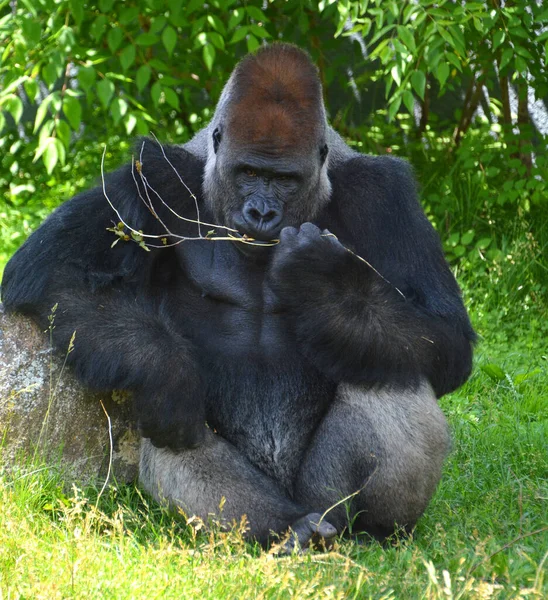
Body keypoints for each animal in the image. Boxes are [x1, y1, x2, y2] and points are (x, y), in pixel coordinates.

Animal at [1, 42, 476, 548]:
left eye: (285, 179)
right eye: (249, 171)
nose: (261, 213)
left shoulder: (385, 195)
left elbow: (447, 338)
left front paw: (323, 284)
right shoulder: (150, 174)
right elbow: (50, 270)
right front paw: (169, 374)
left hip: (324, 497)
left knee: (390, 369)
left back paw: (374, 530)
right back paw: (284, 526)